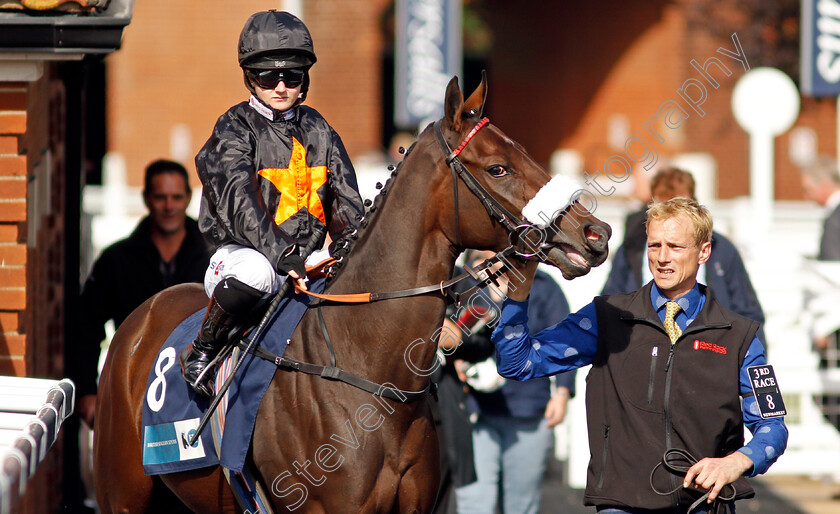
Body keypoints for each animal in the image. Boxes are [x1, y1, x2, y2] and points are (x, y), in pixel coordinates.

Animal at [93, 74, 612, 510]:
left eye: (526, 153)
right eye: (499, 168)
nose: (596, 232)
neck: (368, 370)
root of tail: (140, 320)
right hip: (121, 491)